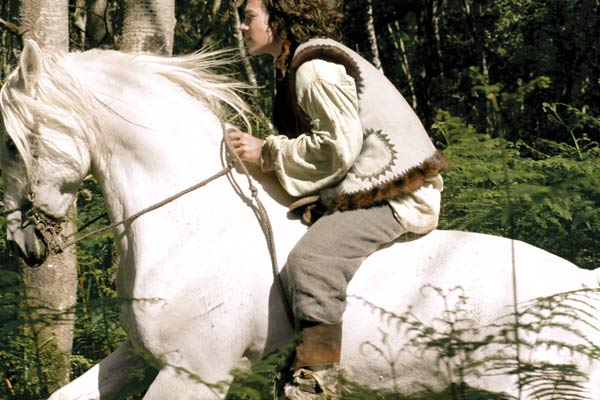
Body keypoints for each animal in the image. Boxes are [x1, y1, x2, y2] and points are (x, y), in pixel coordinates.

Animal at [1, 39, 600, 400]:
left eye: (9, 143)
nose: (19, 242)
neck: (189, 231)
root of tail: (585, 282)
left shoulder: (194, 372)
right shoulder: (143, 355)